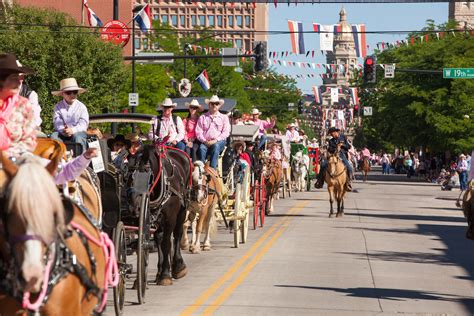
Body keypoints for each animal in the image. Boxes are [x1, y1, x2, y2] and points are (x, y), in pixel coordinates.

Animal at [140, 146, 192, 286]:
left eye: (146, 170)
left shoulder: (170, 218)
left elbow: (167, 243)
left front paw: (165, 275)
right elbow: (159, 240)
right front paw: (162, 272)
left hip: (182, 211)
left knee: (177, 234)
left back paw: (178, 266)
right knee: (159, 237)